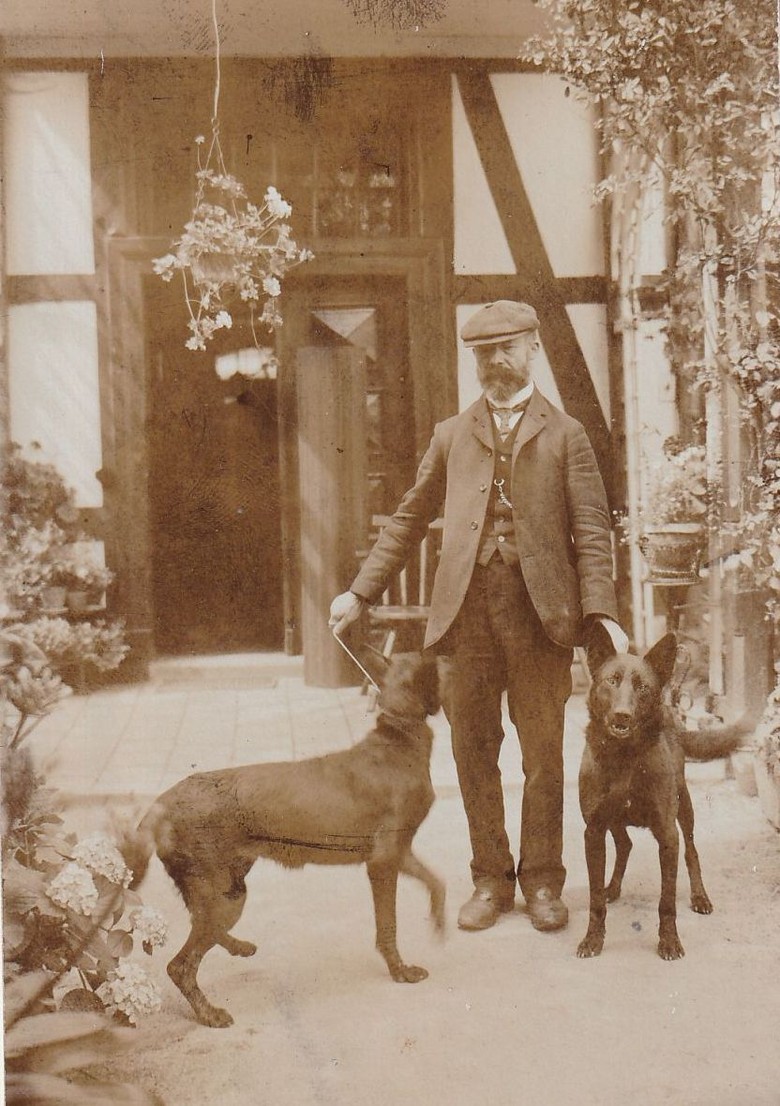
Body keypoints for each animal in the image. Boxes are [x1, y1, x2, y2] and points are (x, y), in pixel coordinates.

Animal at [125, 645, 446, 1026]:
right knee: (181, 965)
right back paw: (210, 1013)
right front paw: (400, 971)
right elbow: (388, 925)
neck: (400, 732)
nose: (444, 649)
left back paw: (239, 947)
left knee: (202, 932)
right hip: (222, 896)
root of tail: (161, 802)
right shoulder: (383, 861)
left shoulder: (400, 852)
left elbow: (437, 882)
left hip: (230, 888)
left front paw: (438, 922)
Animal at [579, 637, 747, 964]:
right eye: (611, 681)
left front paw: (669, 942)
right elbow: (594, 899)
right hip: (615, 819)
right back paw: (613, 887)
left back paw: (700, 896)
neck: (624, 756)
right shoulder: (593, 831)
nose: (622, 715)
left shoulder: (668, 835)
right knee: (625, 844)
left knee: (692, 852)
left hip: (685, 806)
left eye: (643, 687)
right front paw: (593, 939)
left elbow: (666, 901)